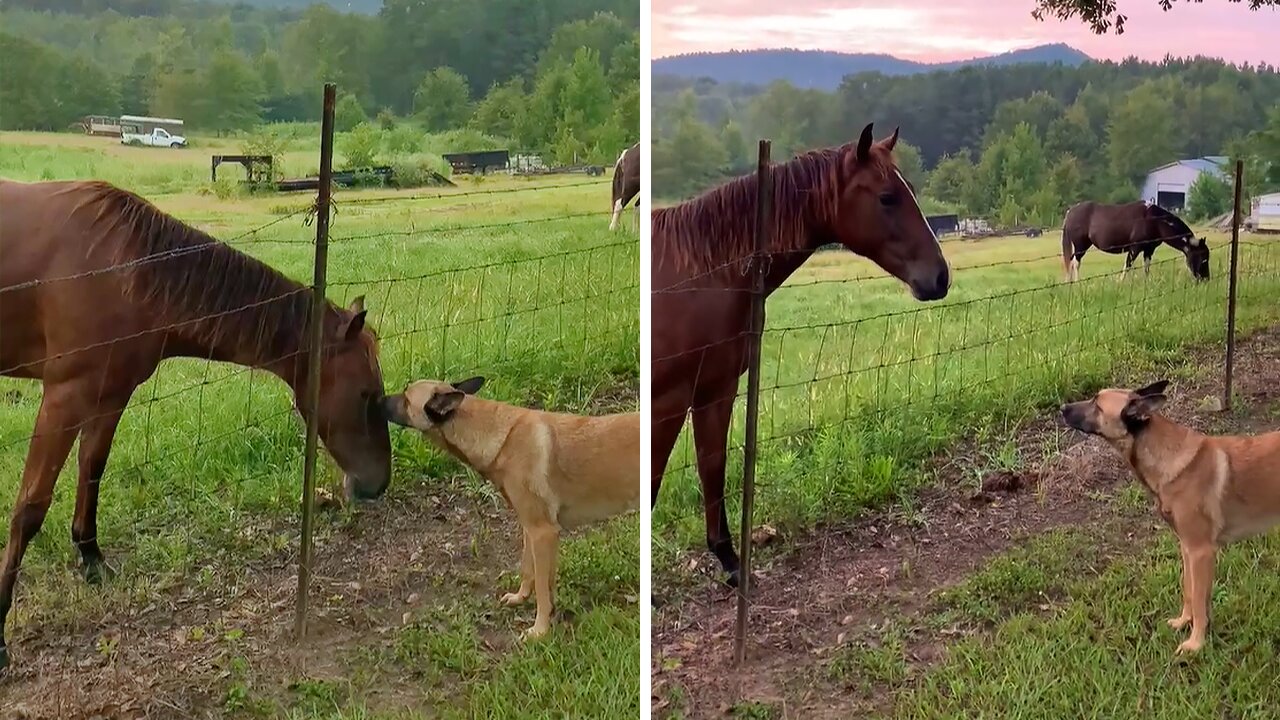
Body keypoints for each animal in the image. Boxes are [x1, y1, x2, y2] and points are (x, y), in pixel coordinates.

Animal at [0, 179, 391, 666]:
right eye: (366, 394)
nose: (378, 483)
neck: (126, 268)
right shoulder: (64, 397)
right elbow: (29, 507)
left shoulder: (110, 394)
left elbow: (92, 470)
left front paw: (92, 561)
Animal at [378, 376, 640, 632]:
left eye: (405, 397)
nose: (377, 399)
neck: (497, 434)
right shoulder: (531, 529)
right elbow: (530, 571)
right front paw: (521, 599)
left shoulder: (542, 532)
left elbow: (542, 589)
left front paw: (539, 630)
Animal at [655, 122, 947, 584]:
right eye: (887, 197)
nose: (940, 277)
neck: (705, 274)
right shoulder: (667, 401)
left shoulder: (715, 389)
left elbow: (712, 466)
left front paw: (731, 562)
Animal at [1059, 202, 1208, 283]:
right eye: (1203, 258)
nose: (1206, 279)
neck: (1154, 220)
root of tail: (1070, 212)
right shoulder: (1135, 248)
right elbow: (1128, 265)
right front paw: (1120, 283)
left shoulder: (1149, 250)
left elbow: (1146, 267)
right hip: (1080, 245)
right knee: (1075, 263)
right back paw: (1077, 283)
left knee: (1071, 261)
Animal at [1064, 379, 1280, 653]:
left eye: (1097, 405)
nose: (1061, 408)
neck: (1167, 457)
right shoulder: (1186, 547)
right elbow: (1188, 590)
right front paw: (1183, 622)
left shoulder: (1200, 551)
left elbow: (1198, 601)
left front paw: (1195, 644)